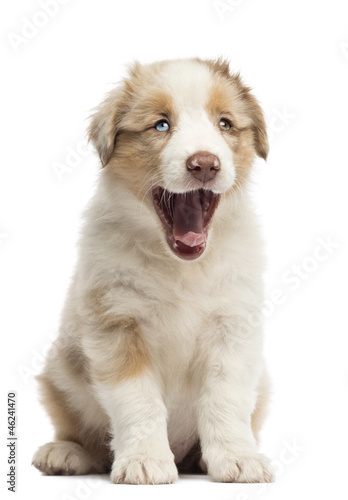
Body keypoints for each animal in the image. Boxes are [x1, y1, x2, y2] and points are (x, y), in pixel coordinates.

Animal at [32, 58, 274, 484]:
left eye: (225, 124)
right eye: (161, 125)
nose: (205, 164)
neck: (180, 266)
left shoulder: (233, 326)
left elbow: (225, 398)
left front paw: (237, 457)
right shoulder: (116, 324)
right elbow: (138, 400)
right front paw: (145, 460)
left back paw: (199, 460)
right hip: (60, 371)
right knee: (82, 433)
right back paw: (65, 453)